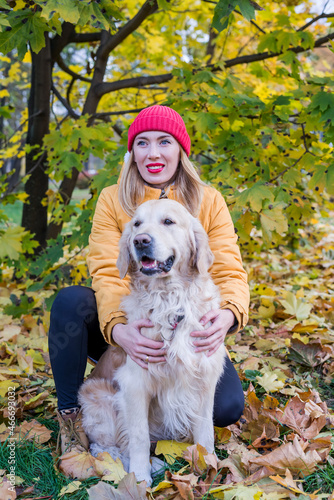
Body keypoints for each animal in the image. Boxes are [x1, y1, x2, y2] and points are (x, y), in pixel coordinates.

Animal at [77, 198, 227, 484]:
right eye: (137, 224)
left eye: (168, 221)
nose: (141, 240)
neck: (170, 300)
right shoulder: (135, 384)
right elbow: (138, 437)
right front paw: (139, 478)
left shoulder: (205, 377)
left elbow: (205, 429)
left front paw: (209, 463)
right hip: (100, 399)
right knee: (106, 447)